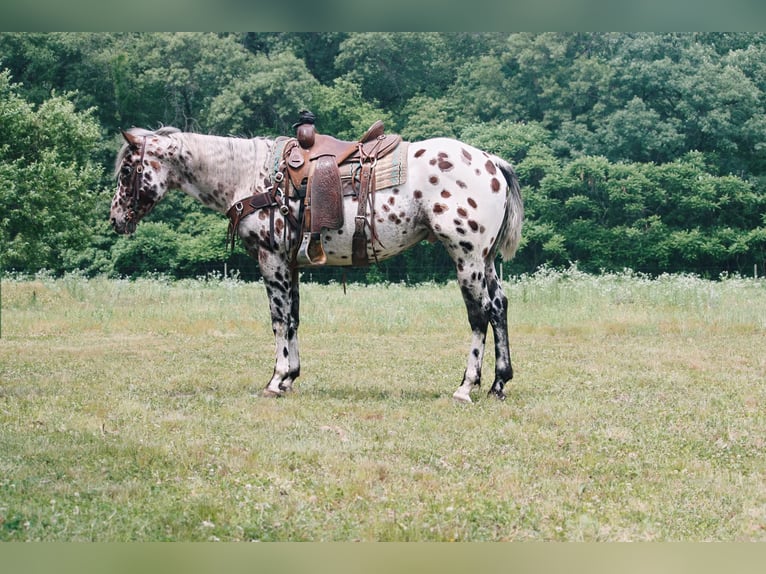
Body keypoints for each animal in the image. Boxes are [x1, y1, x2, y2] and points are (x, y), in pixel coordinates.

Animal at [111, 126, 524, 404]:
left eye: (127, 171)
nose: (115, 219)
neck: (249, 176)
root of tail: (492, 162)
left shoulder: (272, 259)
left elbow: (278, 320)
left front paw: (276, 380)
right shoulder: (289, 265)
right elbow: (293, 318)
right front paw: (290, 378)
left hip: (466, 257)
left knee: (479, 314)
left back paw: (466, 386)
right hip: (485, 261)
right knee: (499, 307)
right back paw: (499, 384)